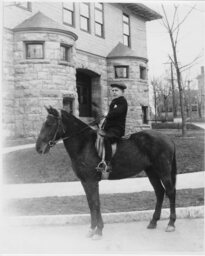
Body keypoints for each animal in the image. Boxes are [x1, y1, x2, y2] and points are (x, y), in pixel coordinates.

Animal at [35, 106, 176, 240]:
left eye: (49, 124)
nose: (38, 148)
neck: (84, 144)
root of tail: (167, 138)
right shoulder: (85, 182)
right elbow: (91, 204)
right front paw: (92, 229)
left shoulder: (91, 181)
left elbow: (96, 203)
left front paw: (98, 231)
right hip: (151, 171)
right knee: (159, 192)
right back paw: (153, 221)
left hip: (163, 171)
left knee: (170, 192)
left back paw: (171, 224)